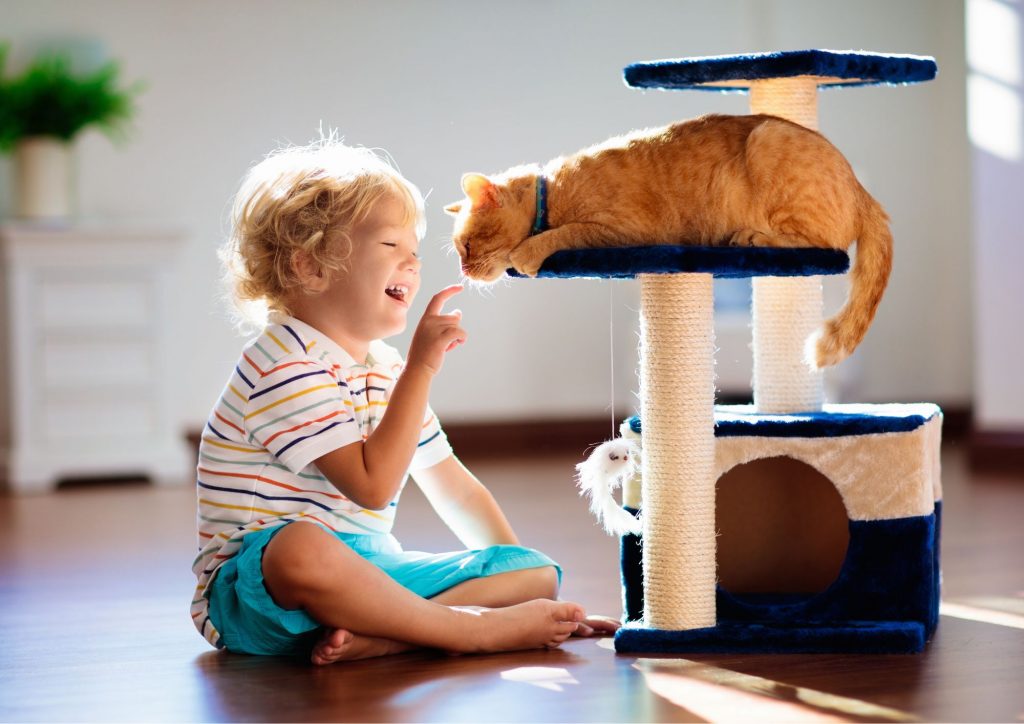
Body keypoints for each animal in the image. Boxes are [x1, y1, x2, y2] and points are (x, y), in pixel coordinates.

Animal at [444, 112, 892, 368]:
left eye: (466, 246)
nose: (463, 270)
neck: (552, 192)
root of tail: (862, 189)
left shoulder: (620, 230)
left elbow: (563, 233)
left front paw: (528, 252)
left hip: (769, 142)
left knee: (820, 245)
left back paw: (749, 236)